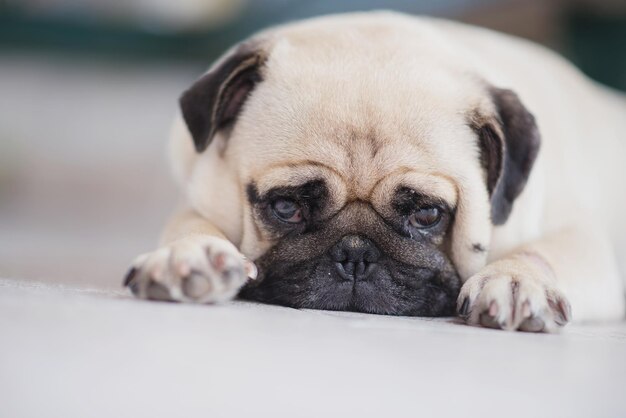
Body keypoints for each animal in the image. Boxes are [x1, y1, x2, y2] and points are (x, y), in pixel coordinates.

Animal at [123, 10, 624, 334]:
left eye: (427, 215)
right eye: (286, 207)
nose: (354, 254)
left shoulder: (582, 240)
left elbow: (545, 251)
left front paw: (517, 279)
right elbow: (190, 224)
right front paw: (188, 256)